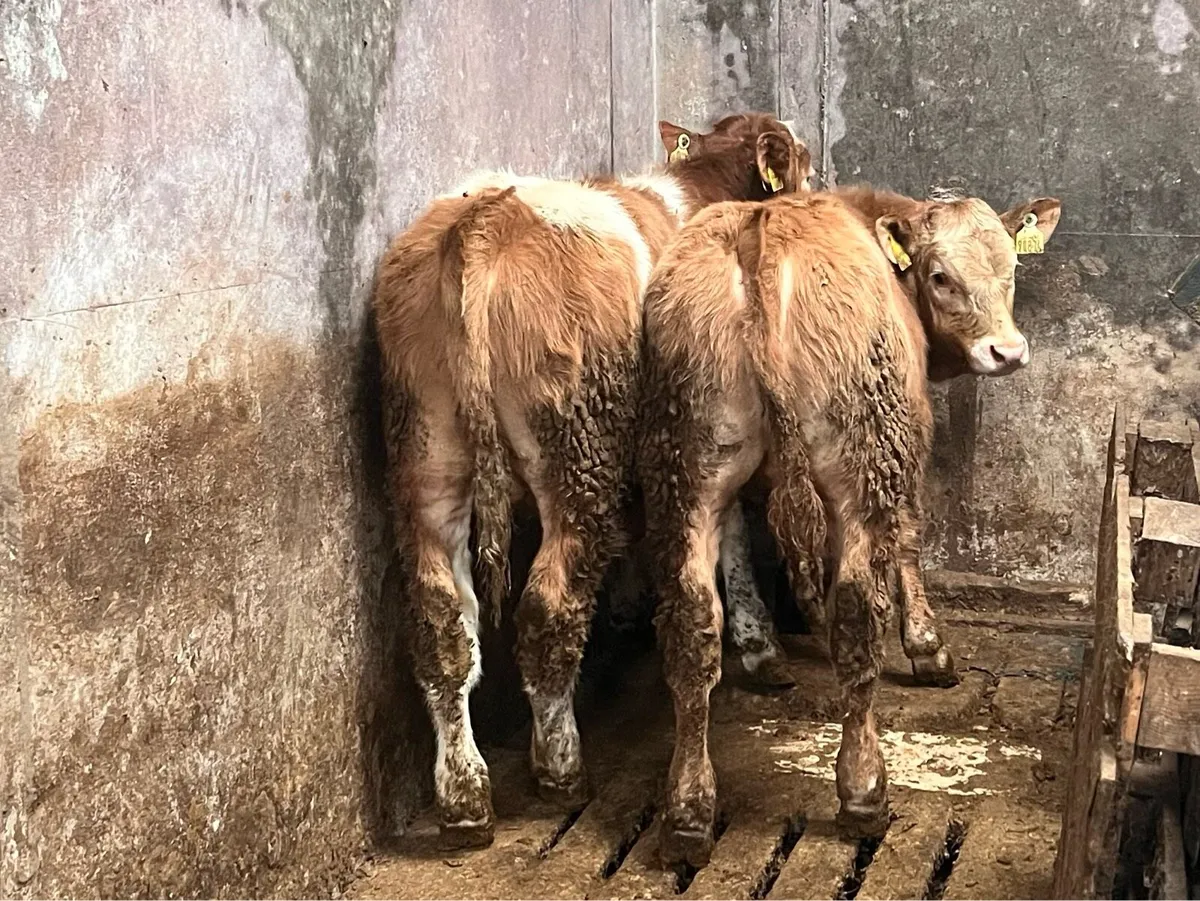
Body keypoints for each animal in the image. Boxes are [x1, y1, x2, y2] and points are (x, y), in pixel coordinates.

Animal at [372, 112, 812, 849]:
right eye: (804, 160)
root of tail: (487, 219)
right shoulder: (703, 432)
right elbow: (732, 541)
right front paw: (762, 649)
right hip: (577, 450)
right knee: (549, 609)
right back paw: (560, 768)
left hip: (425, 450)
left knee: (441, 622)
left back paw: (465, 799)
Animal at [637, 186, 1061, 866]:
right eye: (941, 277)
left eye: (1012, 270)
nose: (1008, 351)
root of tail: (761, 227)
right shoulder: (906, 446)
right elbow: (910, 540)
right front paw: (928, 648)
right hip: (862, 456)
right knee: (858, 615)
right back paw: (864, 791)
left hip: (688, 464)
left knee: (692, 624)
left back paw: (688, 812)